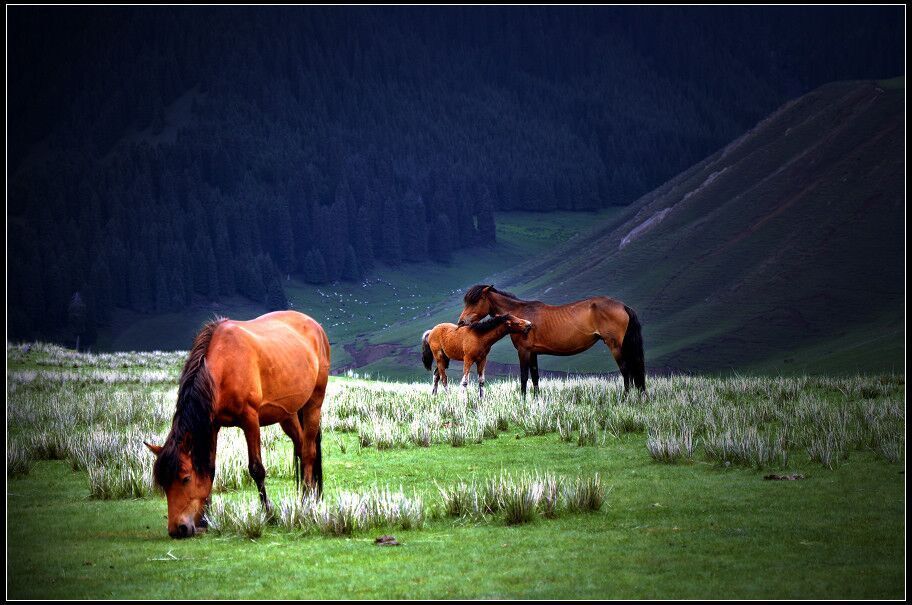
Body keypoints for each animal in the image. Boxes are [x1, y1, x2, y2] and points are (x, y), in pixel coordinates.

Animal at [148, 312, 334, 536]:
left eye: (185, 478)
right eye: (163, 483)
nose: (178, 529)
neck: (225, 366)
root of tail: (316, 326)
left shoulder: (250, 420)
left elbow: (257, 469)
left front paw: (269, 515)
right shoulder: (213, 425)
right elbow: (209, 469)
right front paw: (206, 519)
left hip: (314, 403)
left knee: (308, 453)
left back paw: (307, 501)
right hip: (288, 415)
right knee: (301, 448)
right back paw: (311, 497)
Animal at [460, 284, 644, 396]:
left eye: (476, 301)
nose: (461, 322)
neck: (520, 314)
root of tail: (623, 306)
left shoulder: (524, 351)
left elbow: (524, 377)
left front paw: (523, 401)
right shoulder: (533, 353)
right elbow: (535, 377)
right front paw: (536, 400)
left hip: (615, 346)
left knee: (625, 370)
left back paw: (625, 398)